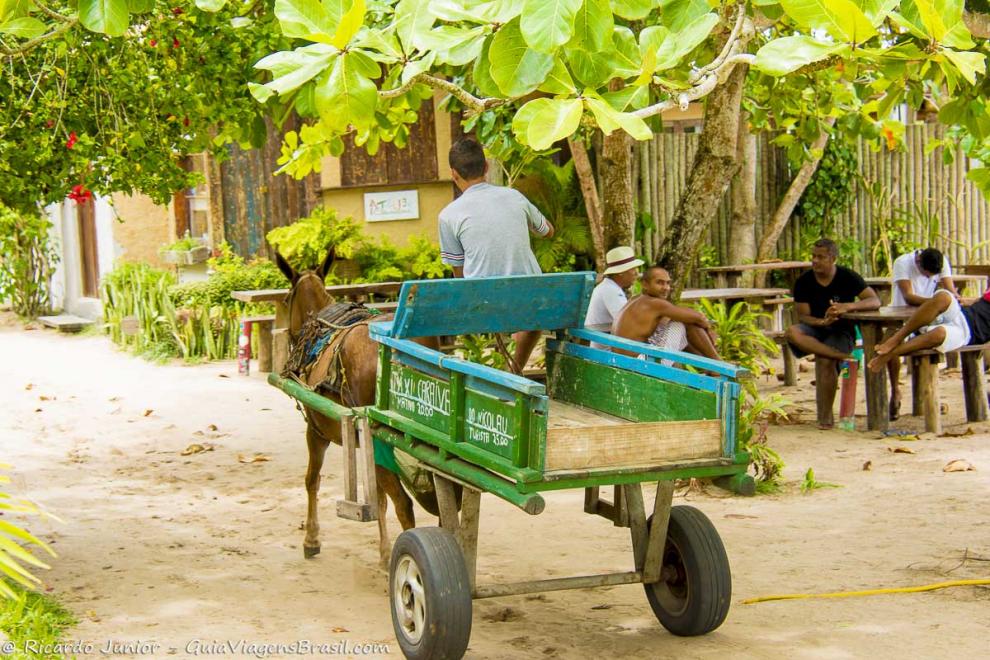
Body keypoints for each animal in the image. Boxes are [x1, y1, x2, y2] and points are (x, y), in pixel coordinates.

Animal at [278, 249, 436, 564]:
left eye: (286, 300)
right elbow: (378, 499)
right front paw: (384, 550)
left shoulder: (316, 433)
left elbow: (311, 480)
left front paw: (311, 539)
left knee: (404, 504)